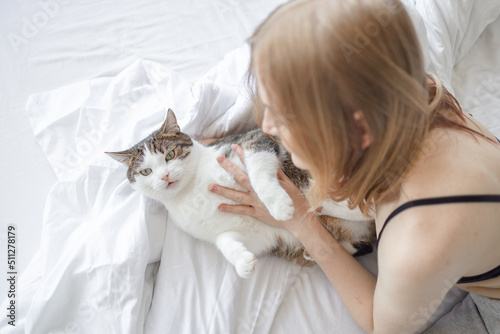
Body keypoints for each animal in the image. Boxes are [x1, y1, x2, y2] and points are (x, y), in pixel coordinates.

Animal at [108, 108, 376, 278]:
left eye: (170, 154)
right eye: (146, 171)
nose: (164, 177)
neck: (192, 190)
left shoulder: (252, 141)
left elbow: (258, 172)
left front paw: (278, 204)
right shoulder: (252, 235)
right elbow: (225, 241)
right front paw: (242, 262)